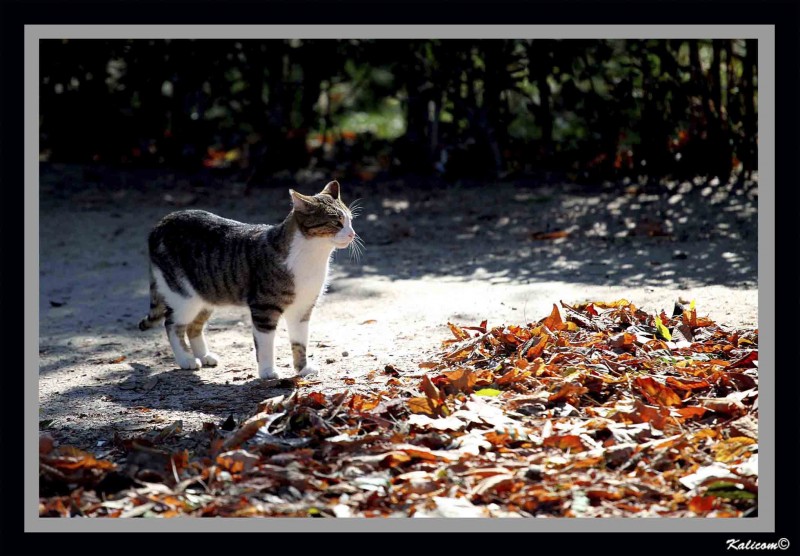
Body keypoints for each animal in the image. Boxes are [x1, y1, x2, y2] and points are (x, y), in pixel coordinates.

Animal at [138, 180, 360, 380]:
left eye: (350, 220)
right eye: (337, 222)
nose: (352, 234)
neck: (312, 256)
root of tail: (161, 223)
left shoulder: (302, 309)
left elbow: (300, 342)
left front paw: (302, 369)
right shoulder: (264, 309)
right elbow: (265, 345)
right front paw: (268, 372)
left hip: (207, 293)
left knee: (194, 326)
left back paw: (205, 356)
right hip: (184, 296)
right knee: (172, 324)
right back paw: (187, 360)